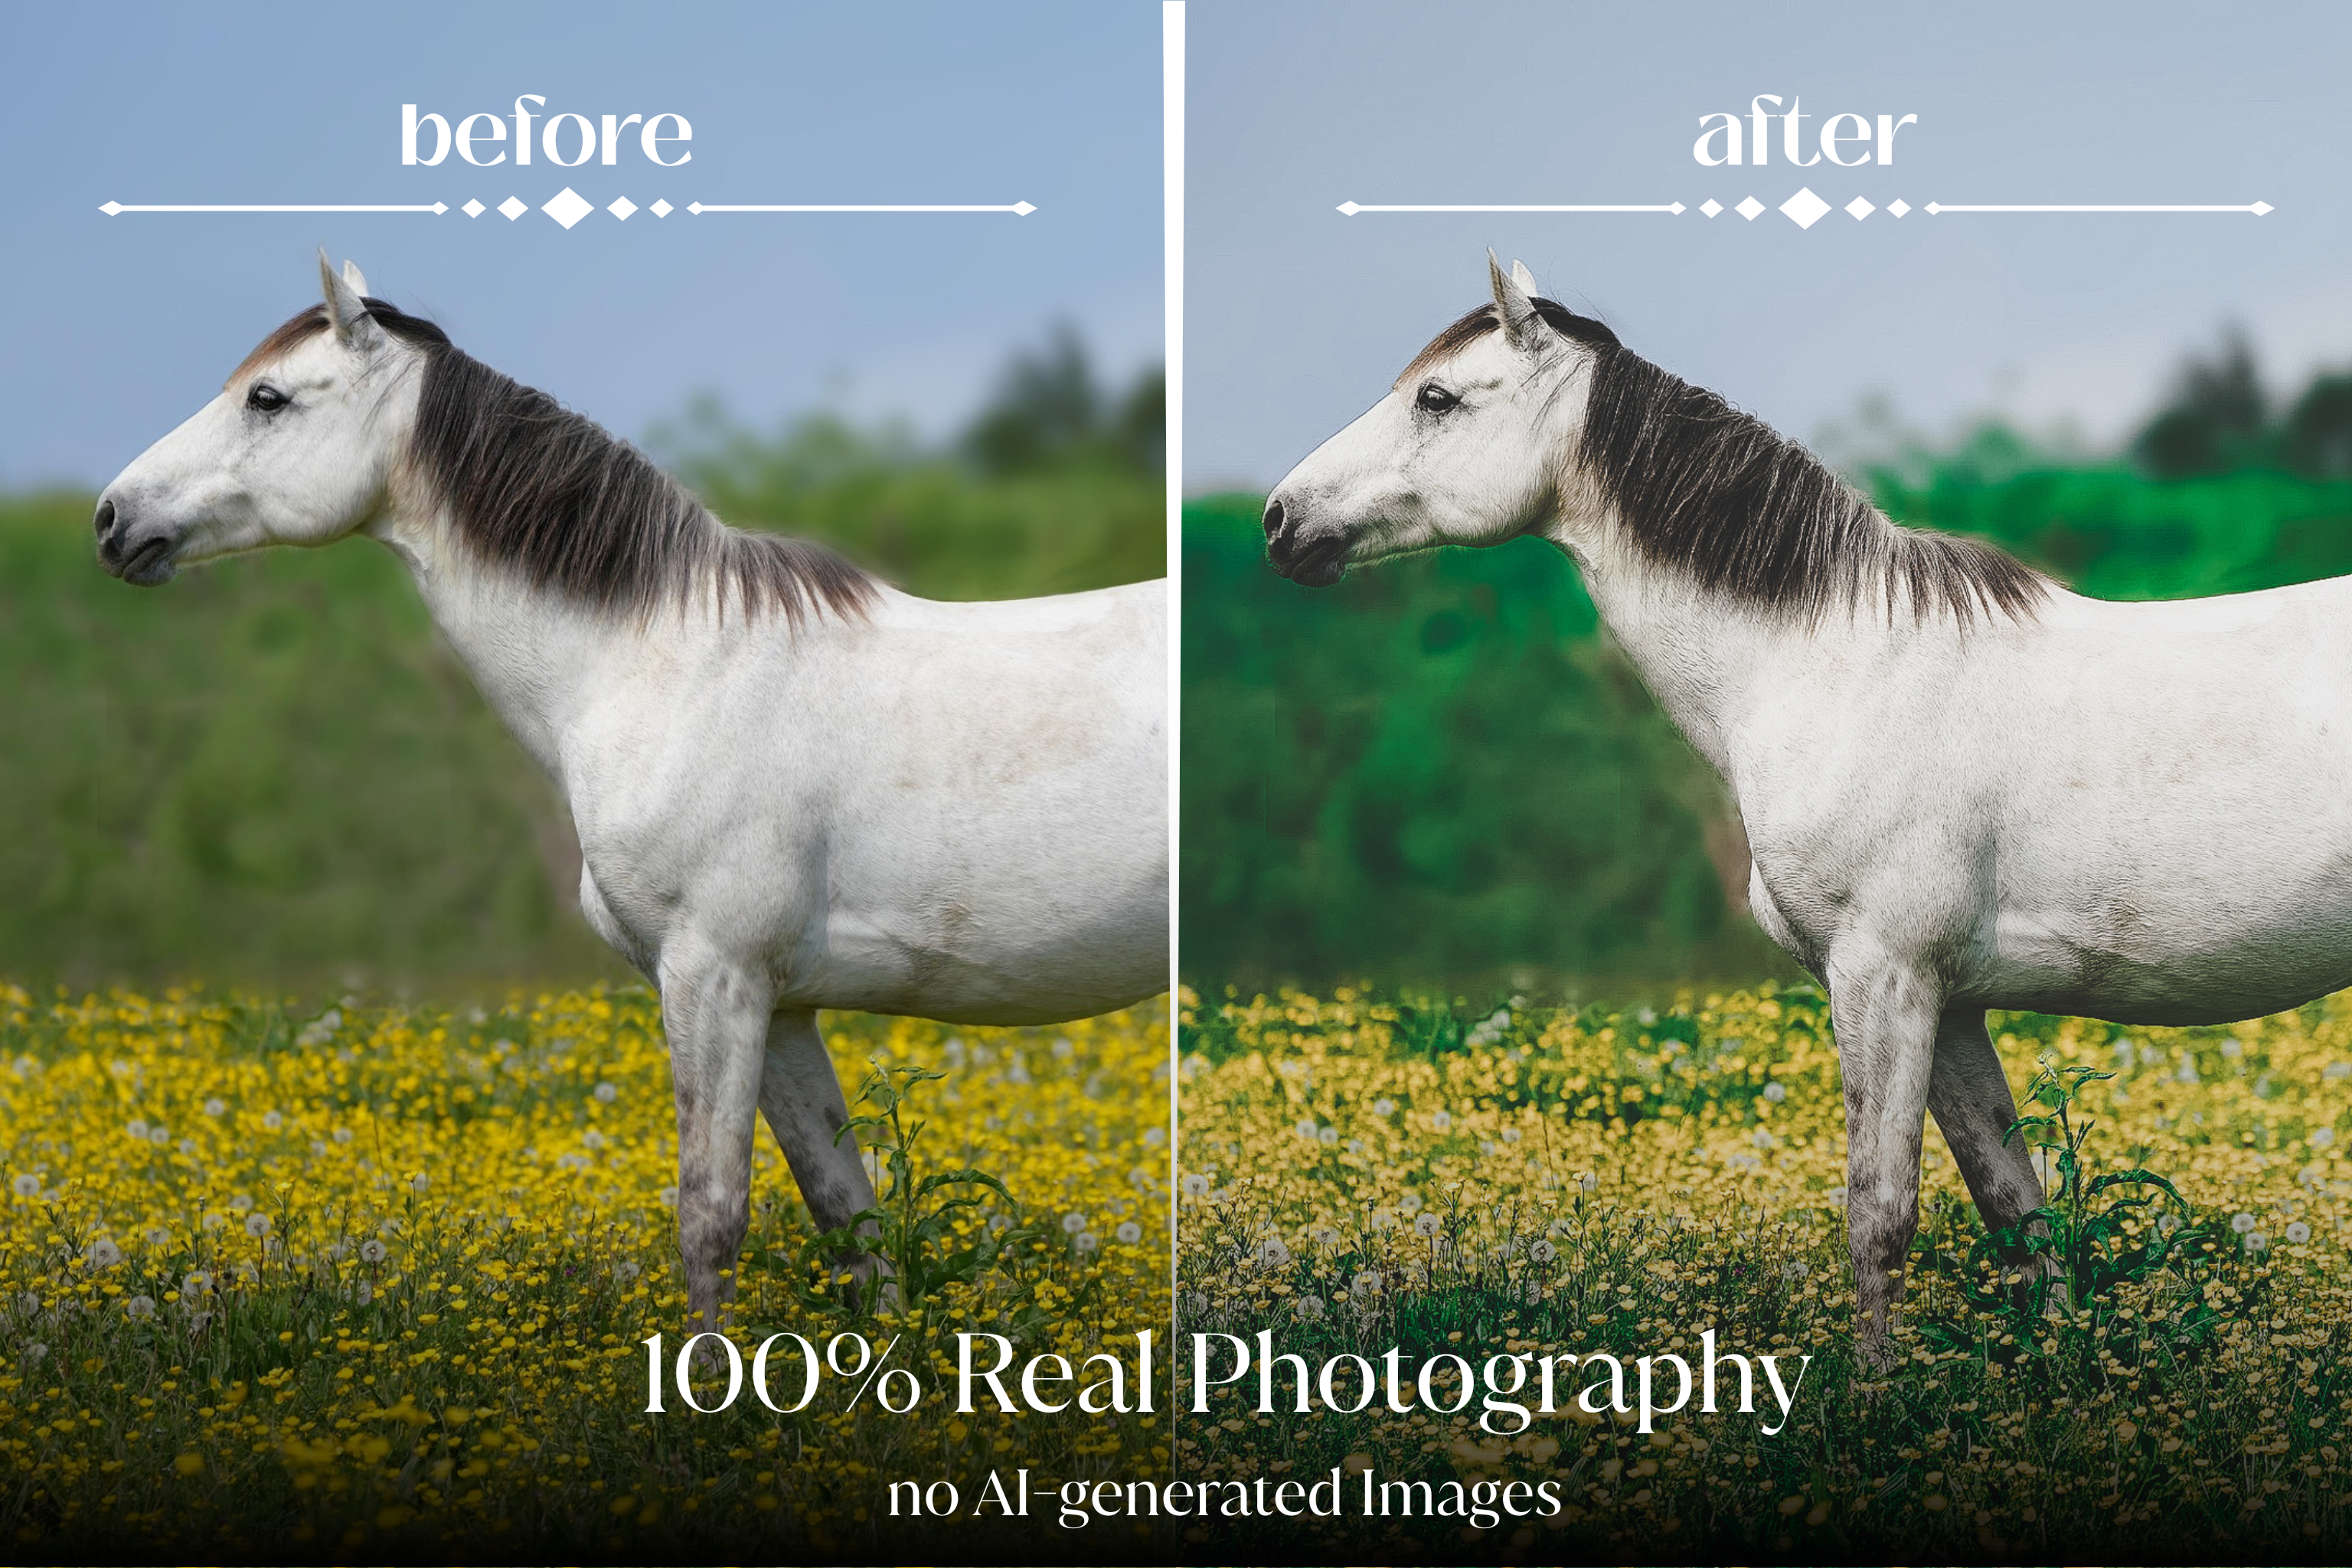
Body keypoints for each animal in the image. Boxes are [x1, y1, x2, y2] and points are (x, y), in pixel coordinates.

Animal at [96, 254, 1168, 1337]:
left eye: (267, 398)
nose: (111, 518)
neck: (658, 665)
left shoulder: (713, 977)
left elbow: (711, 1216)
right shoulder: (783, 1008)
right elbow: (849, 1221)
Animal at [1263, 251, 2352, 1363]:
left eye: (1437, 398)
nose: (1280, 519)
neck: (1827, 663)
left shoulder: (1883, 979)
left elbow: (1881, 1214)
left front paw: (1876, 1393)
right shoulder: (1952, 1005)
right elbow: (2015, 1209)